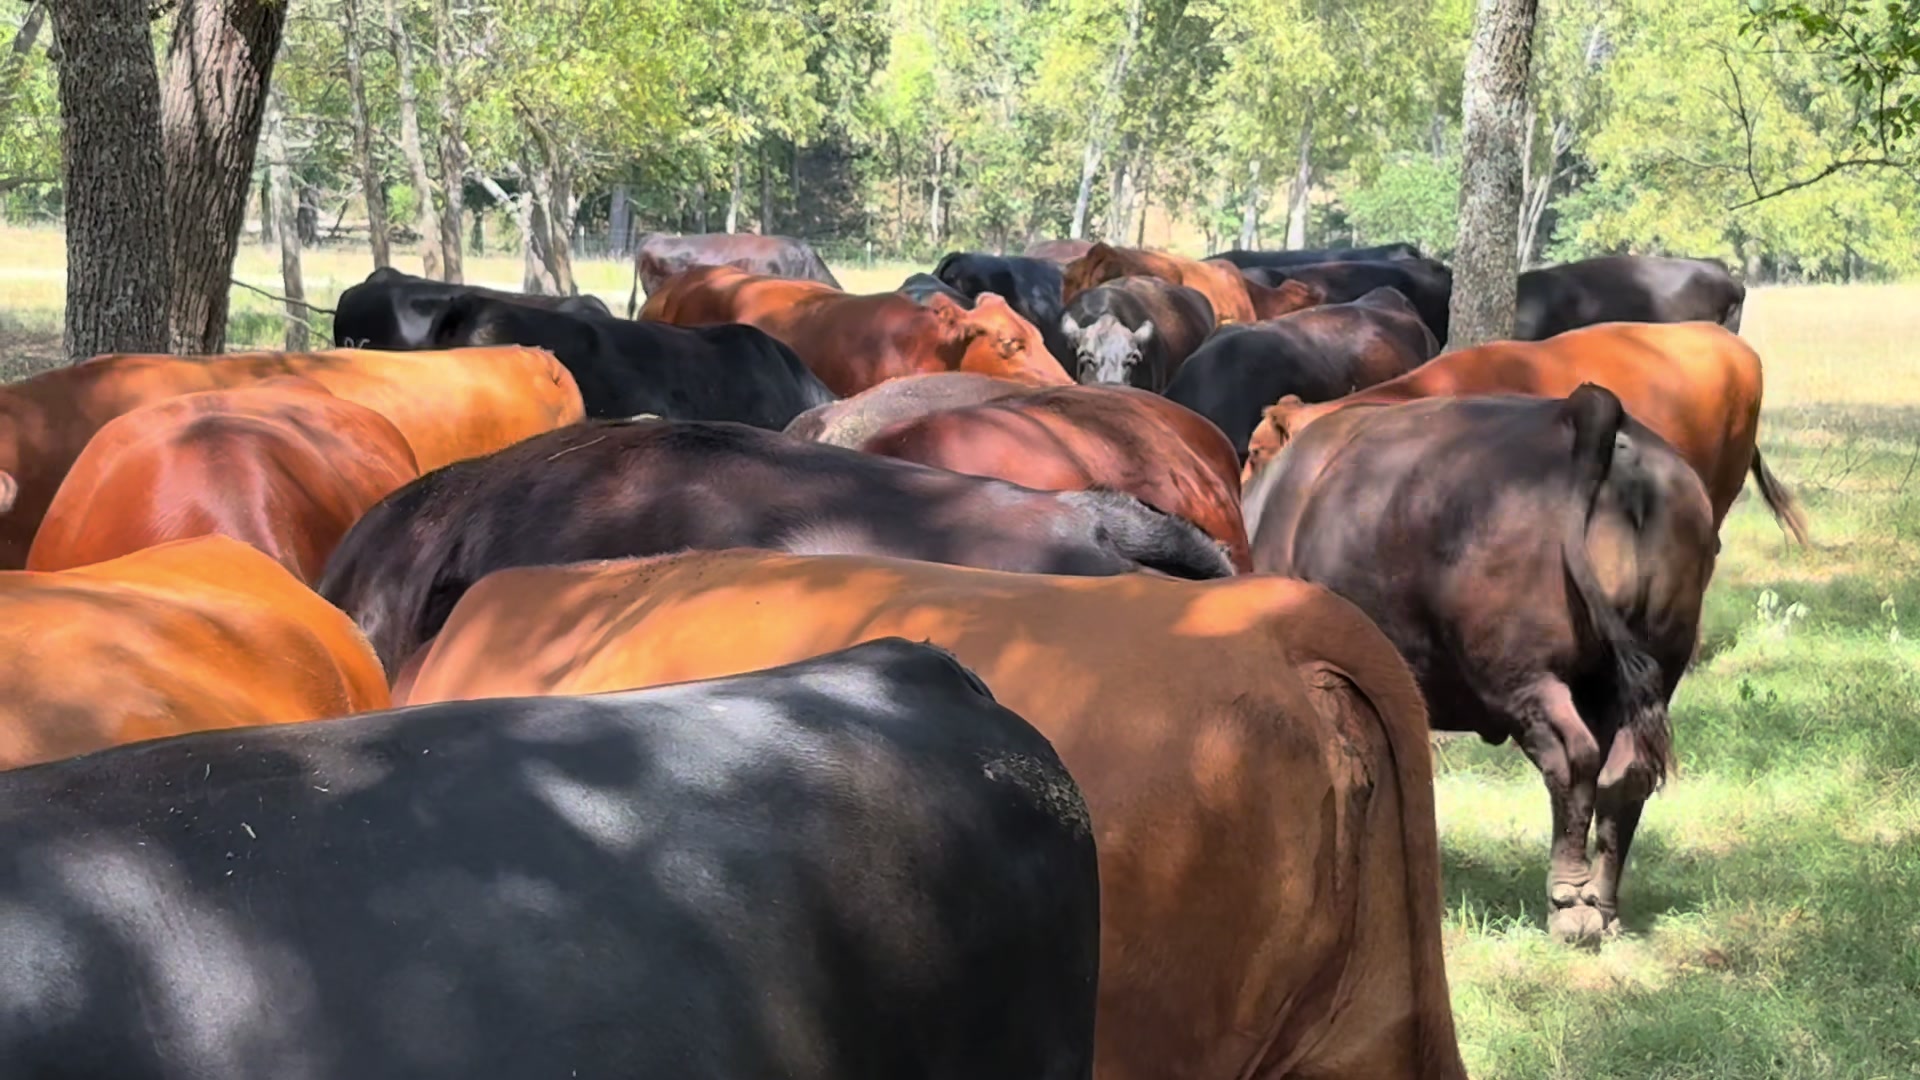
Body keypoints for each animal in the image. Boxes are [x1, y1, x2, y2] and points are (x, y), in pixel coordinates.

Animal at [1243, 387, 1718, 941]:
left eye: (1253, 451)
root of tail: (1582, 408)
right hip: (1649, 667)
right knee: (1625, 774)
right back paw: (1603, 904)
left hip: (1521, 673)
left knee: (1571, 760)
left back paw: (1569, 902)